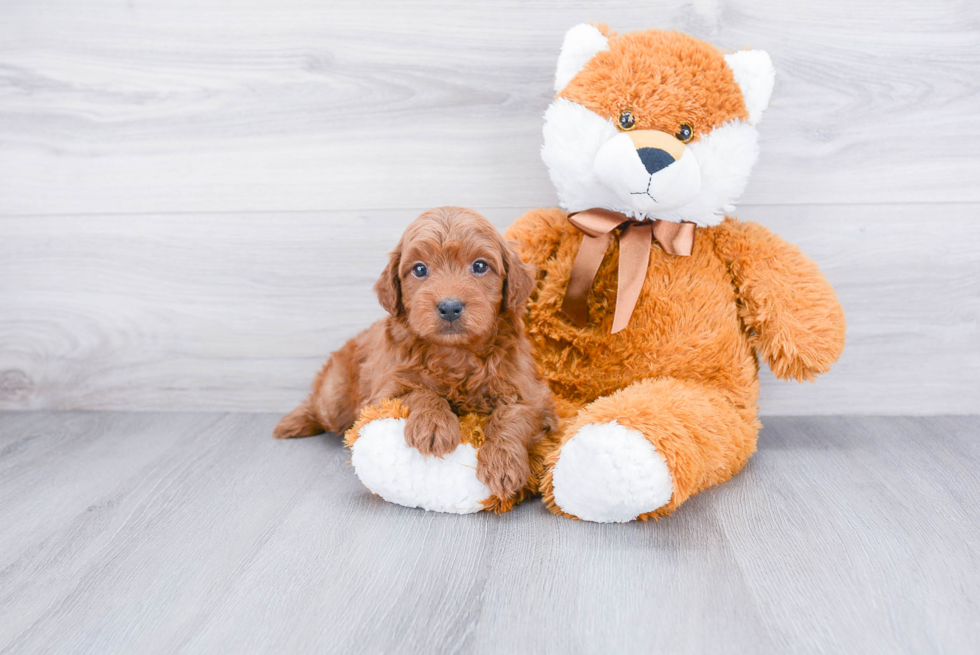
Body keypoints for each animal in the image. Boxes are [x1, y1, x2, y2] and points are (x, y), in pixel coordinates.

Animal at [272, 208, 556, 504]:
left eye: (480, 266)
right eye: (420, 269)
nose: (450, 307)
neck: (455, 352)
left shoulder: (531, 393)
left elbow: (513, 416)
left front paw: (503, 463)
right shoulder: (386, 391)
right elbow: (421, 392)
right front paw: (433, 426)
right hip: (335, 397)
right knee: (319, 405)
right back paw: (293, 422)